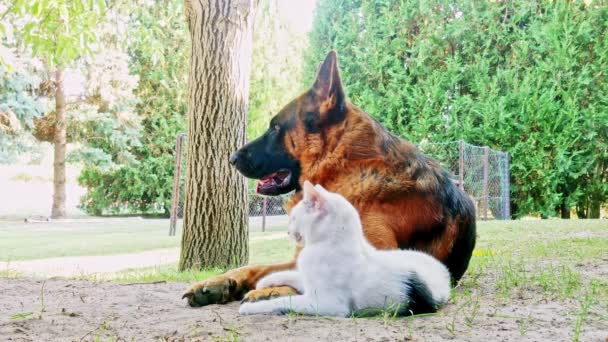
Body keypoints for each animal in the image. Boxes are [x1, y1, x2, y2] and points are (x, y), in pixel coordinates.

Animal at [238, 182, 452, 318]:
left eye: (294, 218)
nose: (288, 231)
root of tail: (443, 270)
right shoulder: (309, 282)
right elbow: (293, 274)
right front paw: (265, 281)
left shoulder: (327, 303)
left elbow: (285, 302)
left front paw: (251, 308)